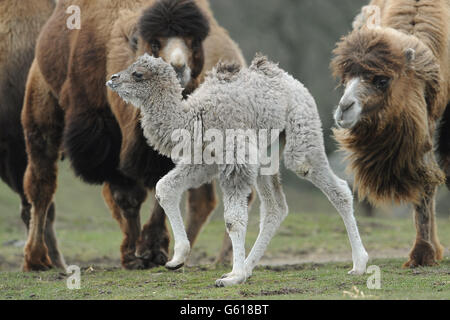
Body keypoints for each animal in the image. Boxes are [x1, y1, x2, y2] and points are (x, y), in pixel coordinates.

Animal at [20, 0, 244, 272]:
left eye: (193, 41)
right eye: (155, 43)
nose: (178, 68)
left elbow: (159, 185)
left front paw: (152, 250)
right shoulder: (106, 139)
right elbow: (127, 196)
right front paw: (133, 254)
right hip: (42, 101)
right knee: (42, 180)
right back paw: (36, 259)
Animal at [107, 53, 368, 286]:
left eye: (138, 73)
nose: (112, 79)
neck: (195, 118)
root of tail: (295, 82)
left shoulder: (235, 159)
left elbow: (233, 220)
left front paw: (233, 277)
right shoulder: (203, 161)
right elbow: (165, 187)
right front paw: (177, 259)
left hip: (301, 136)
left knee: (335, 187)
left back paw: (359, 264)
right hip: (266, 155)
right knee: (276, 208)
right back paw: (249, 267)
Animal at [332, 0, 448, 268]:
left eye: (382, 80)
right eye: (345, 80)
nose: (344, 109)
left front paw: (424, 253)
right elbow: (425, 180)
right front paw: (423, 254)